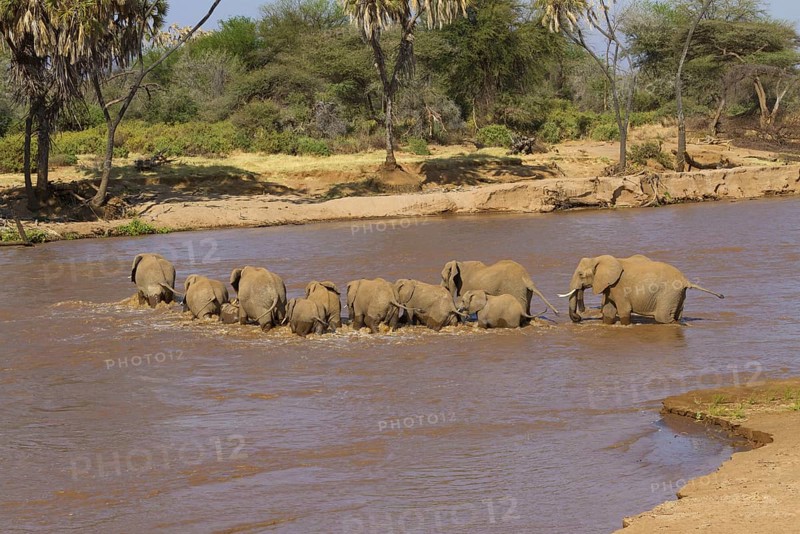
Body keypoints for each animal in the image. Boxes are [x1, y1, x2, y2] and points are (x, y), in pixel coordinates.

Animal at [560, 254, 725, 325]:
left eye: (580, 274)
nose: (578, 318)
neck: (599, 259)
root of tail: (686, 280)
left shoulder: (619, 286)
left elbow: (624, 311)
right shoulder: (610, 287)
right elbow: (608, 312)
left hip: (668, 294)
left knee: (663, 318)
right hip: (678, 295)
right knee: (677, 316)